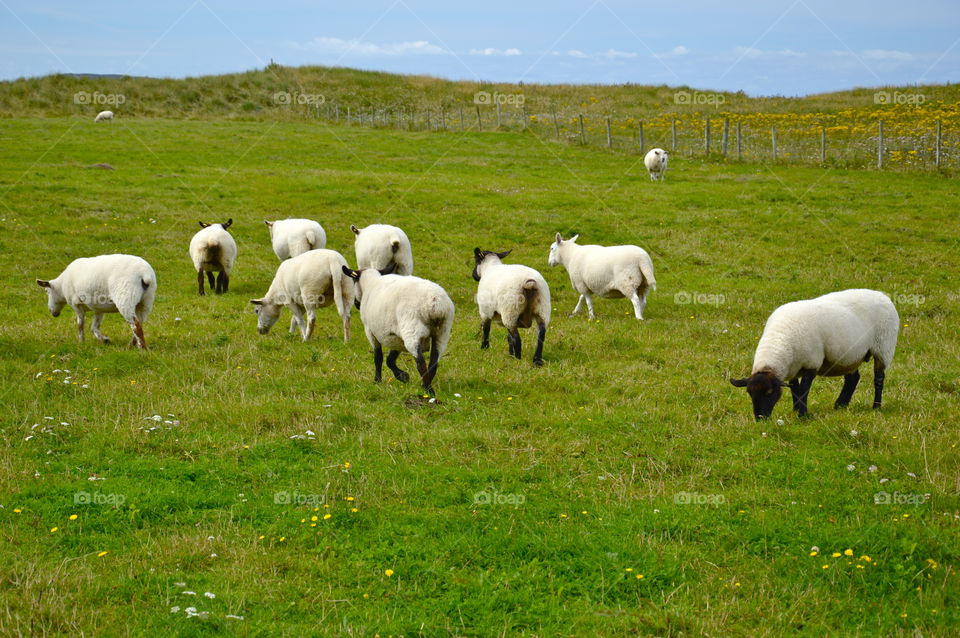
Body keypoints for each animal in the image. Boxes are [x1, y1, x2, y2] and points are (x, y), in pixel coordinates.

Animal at [342, 264, 454, 396]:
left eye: (353, 281)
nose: (356, 304)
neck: (370, 284)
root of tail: (435, 303)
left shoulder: (370, 331)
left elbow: (378, 357)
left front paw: (377, 381)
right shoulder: (396, 337)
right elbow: (390, 359)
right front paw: (403, 376)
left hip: (411, 330)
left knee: (421, 363)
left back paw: (428, 390)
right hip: (442, 332)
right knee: (433, 363)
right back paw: (426, 386)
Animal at [728, 288, 900, 420]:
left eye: (769, 392)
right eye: (749, 392)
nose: (760, 418)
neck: (779, 339)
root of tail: (882, 295)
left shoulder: (812, 362)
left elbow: (804, 389)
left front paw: (802, 415)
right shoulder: (794, 367)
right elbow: (795, 390)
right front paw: (796, 410)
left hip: (883, 347)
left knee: (879, 379)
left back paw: (876, 407)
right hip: (850, 355)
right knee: (853, 378)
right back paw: (840, 405)